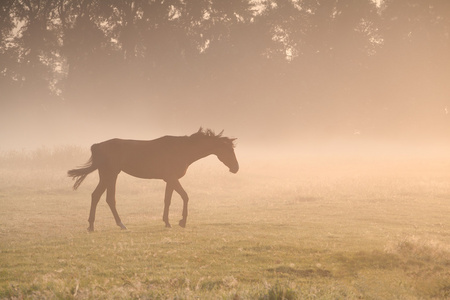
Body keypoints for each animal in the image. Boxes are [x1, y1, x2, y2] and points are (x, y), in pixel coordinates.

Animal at [67, 127, 239, 231]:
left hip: (108, 175)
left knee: (101, 197)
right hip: (110, 174)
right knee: (103, 197)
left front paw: (167, 222)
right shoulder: (172, 178)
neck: (183, 149)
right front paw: (181, 221)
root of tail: (98, 145)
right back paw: (111, 224)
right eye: (228, 150)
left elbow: (168, 200)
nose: (236, 168)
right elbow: (184, 196)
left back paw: (98, 225)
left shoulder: (169, 180)